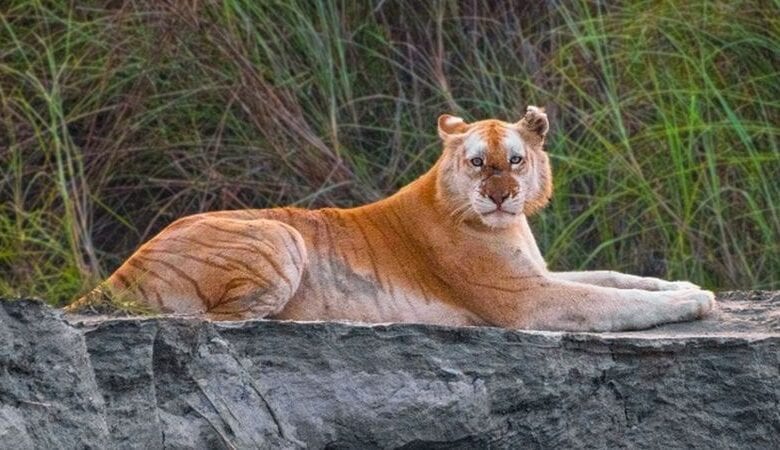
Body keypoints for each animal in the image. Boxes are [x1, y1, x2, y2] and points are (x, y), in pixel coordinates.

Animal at [66, 106, 715, 331]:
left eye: (516, 160)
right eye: (477, 162)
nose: (500, 197)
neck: (506, 226)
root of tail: (120, 269)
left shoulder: (539, 274)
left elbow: (618, 278)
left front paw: (687, 285)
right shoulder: (526, 300)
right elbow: (614, 301)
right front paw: (692, 302)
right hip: (282, 234)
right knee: (218, 322)